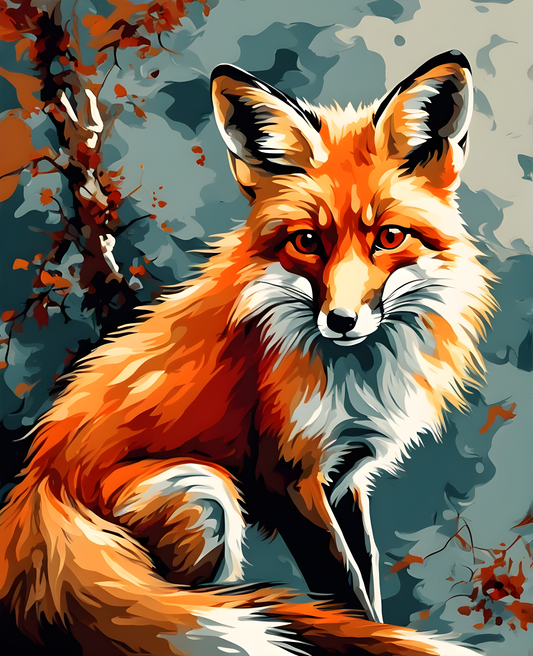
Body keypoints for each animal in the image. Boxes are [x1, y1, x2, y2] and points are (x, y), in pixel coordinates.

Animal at [0, 51, 495, 655]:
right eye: (307, 242)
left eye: (390, 237)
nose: (341, 321)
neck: (357, 379)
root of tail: (35, 484)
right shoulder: (284, 477)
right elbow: (343, 587)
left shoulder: (345, 475)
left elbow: (367, 576)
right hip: (202, 490)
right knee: (192, 599)